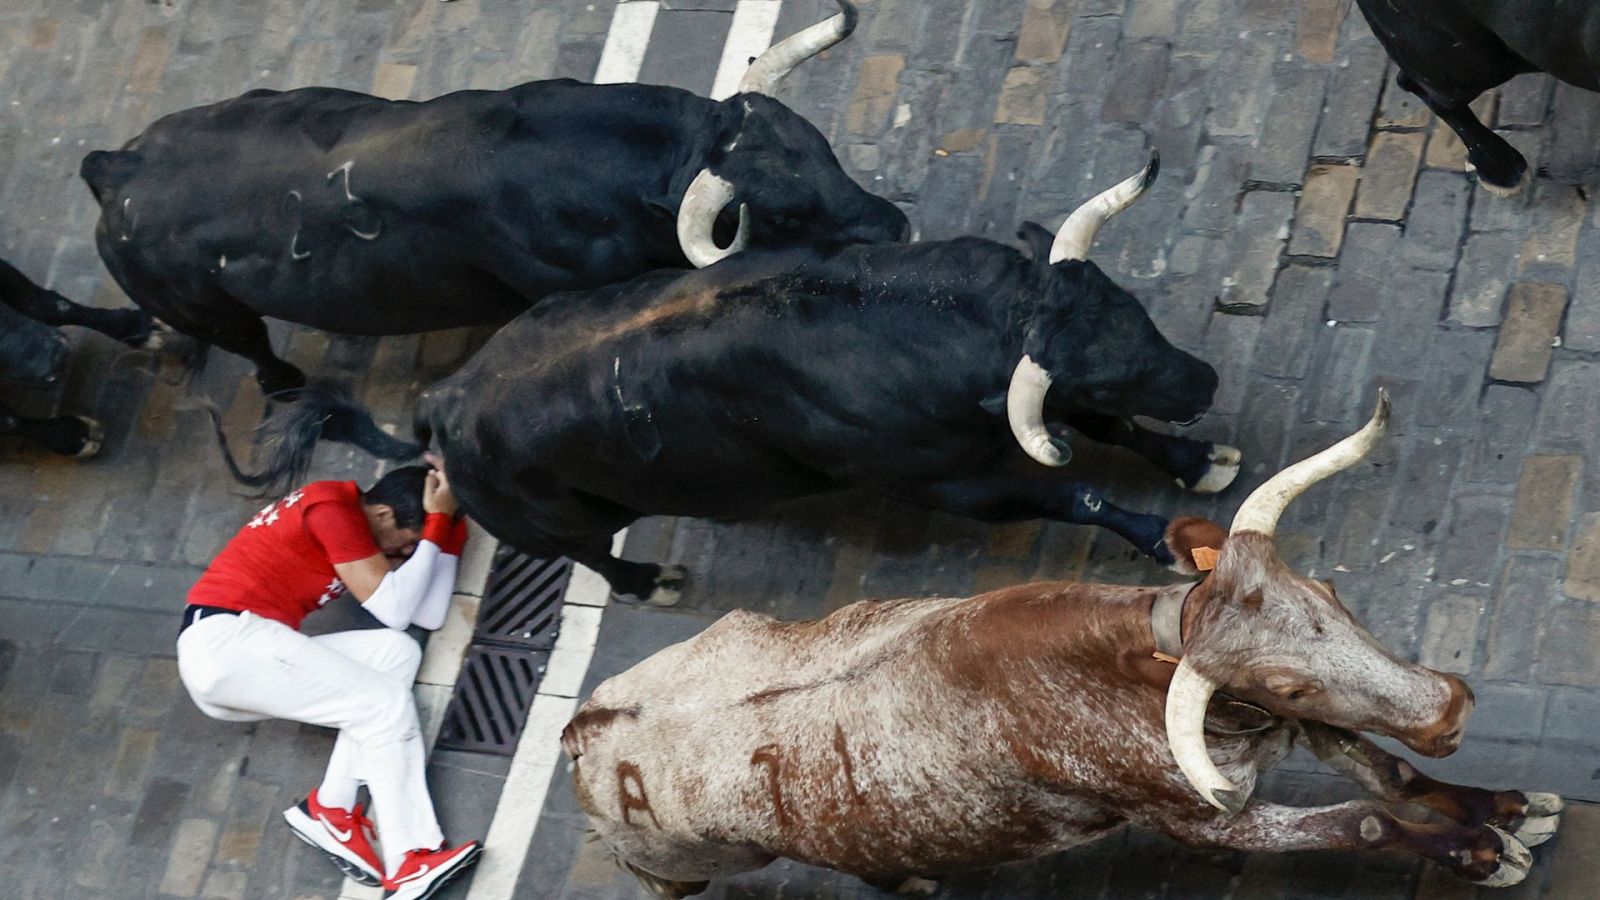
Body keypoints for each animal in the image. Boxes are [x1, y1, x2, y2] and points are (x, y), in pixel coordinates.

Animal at [75, 0, 908, 393]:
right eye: (787, 212)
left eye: (824, 149)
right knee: (251, 349)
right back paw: (281, 383)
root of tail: (115, 167)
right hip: (214, 312)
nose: (896, 226)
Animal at [232, 159, 1235, 602]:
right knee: (590, 555)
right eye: (1106, 367)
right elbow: (1077, 496)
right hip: (554, 525)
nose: (1205, 380)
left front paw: (1198, 460)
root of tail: (442, 405)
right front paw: (1164, 538)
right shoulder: (959, 485)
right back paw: (650, 582)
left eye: (1133, 311)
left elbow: (1113, 440)